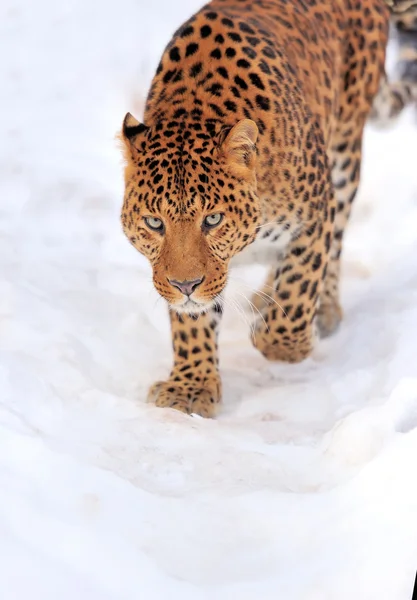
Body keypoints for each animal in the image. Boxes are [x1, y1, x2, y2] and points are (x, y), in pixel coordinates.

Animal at [119, 0, 416, 418]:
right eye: (154, 223)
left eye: (213, 220)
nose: (185, 285)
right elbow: (192, 322)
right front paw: (191, 386)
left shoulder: (317, 211)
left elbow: (300, 284)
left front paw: (283, 340)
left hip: (344, 153)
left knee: (336, 241)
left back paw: (322, 310)